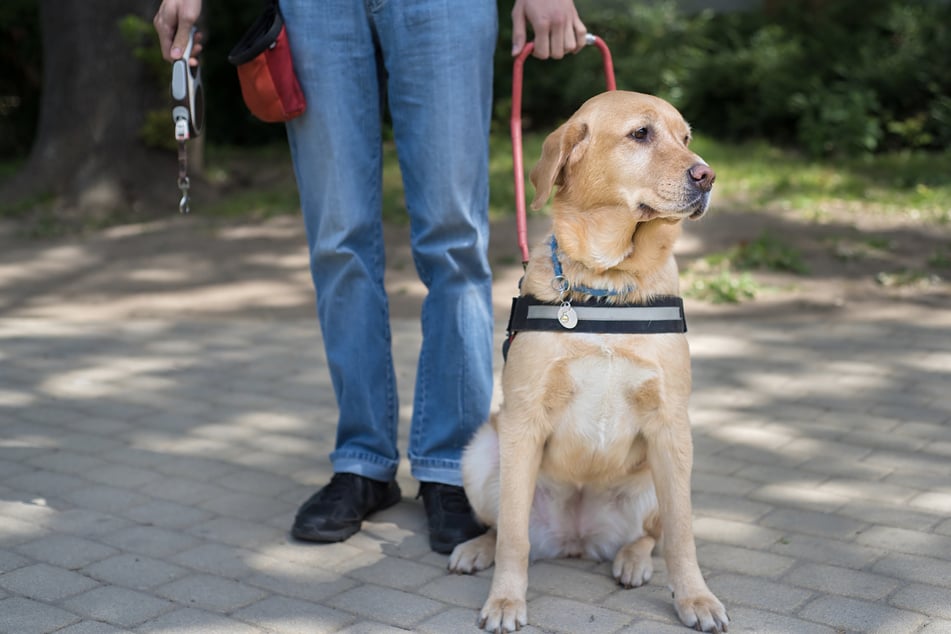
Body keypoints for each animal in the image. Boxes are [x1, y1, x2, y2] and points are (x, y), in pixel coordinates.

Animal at [448, 91, 728, 628]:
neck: (607, 282)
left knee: (651, 535)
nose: (706, 175)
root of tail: (576, 540)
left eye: (685, 137)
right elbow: (514, 536)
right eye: (640, 134)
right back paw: (476, 548)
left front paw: (695, 599)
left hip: (658, 476)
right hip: (481, 454)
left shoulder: (670, 424)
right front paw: (506, 600)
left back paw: (633, 561)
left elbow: (682, 535)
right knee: (504, 528)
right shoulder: (523, 421)